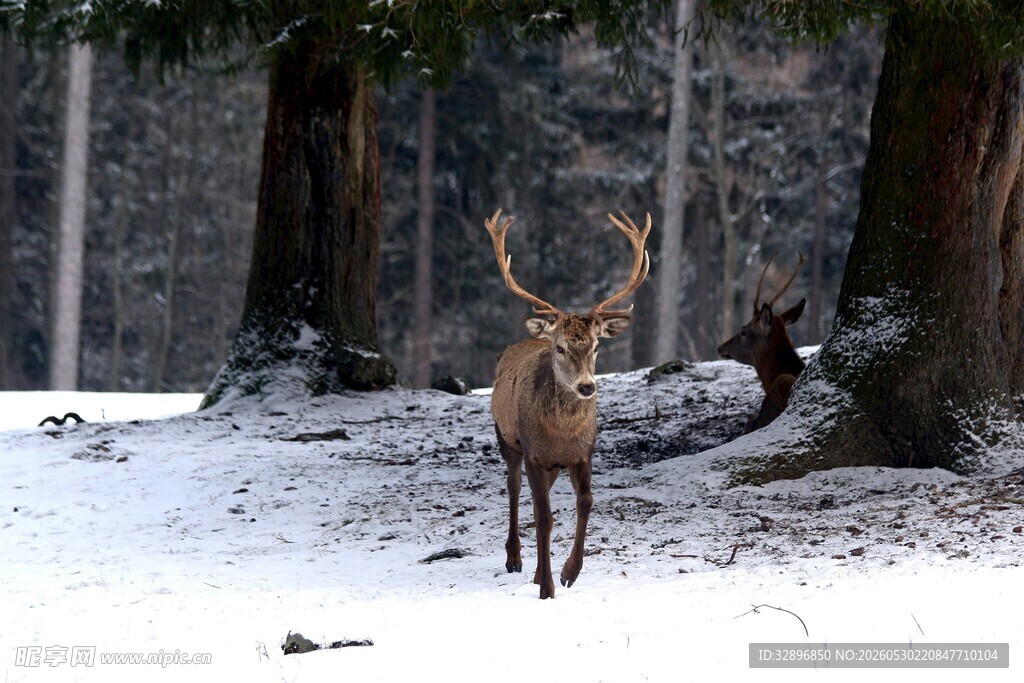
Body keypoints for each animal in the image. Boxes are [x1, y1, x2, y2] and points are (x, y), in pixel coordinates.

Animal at [484, 208, 650, 599]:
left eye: (596, 345)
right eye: (559, 348)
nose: (587, 387)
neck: (561, 433)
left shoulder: (582, 452)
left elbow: (585, 503)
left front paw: (568, 573)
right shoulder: (534, 452)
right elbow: (544, 518)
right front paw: (547, 587)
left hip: (551, 465)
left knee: (537, 497)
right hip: (507, 439)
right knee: (514, 487)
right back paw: (514, 558)